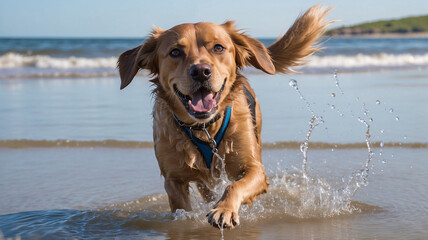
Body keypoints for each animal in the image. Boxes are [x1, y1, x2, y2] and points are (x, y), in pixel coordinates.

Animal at [117, 3, 332, 229]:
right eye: (175, 52)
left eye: (218, 48)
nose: (201, 71)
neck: (204, 127)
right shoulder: (174, 179)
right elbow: (182, 207)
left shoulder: (255, 169)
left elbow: (234, 186)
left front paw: (224, 210)